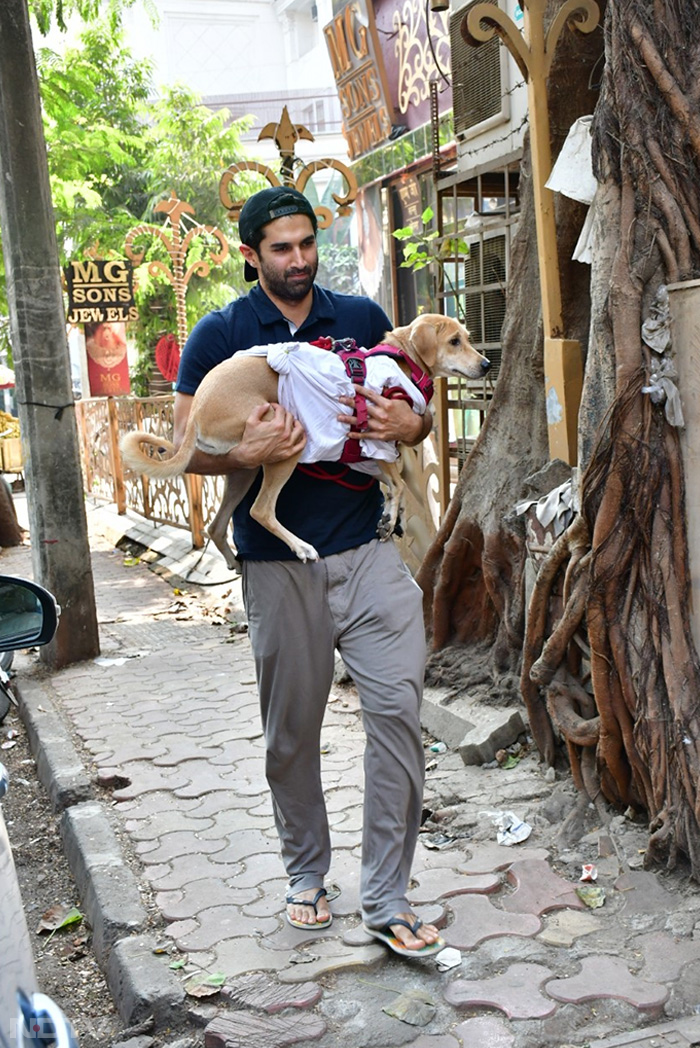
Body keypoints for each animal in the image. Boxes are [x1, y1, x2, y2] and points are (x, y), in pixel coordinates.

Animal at [120, 314, 490, 570]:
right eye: (454, 341)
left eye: (468, 338)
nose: (486, 364)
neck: (403, 356)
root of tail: (197, 408)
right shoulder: (376, 441)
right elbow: (397, 484)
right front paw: (388, 517)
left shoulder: (363, 455)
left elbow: (389, 486)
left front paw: (388, 516)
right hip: (288, 441)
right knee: (260, 510)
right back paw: (301, 547)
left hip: (244, 467)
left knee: (217, 524)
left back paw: (233, 560)